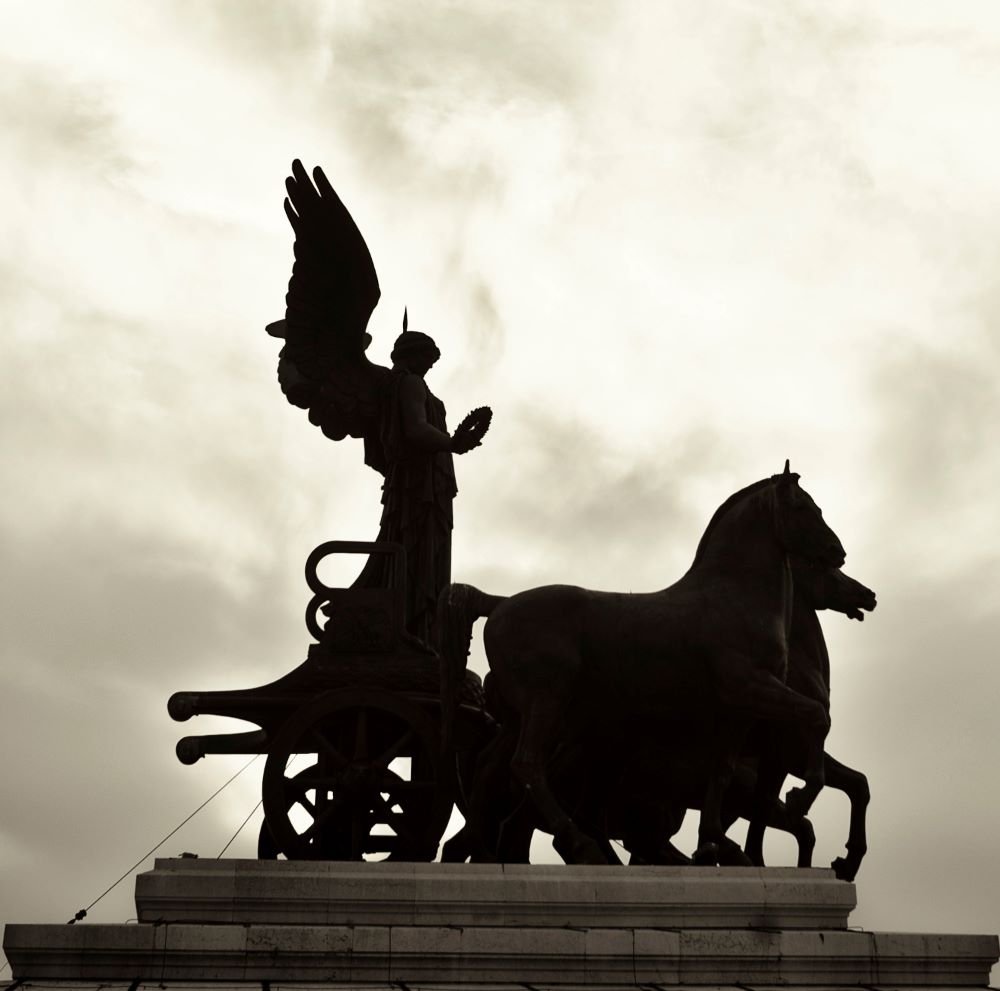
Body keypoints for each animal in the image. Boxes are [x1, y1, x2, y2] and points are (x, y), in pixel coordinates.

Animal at [438, 462, 844, 864]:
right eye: (802, 507)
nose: (836, 551)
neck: (733, 597)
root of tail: (499, 604)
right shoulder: (752, 688)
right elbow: (817, 717)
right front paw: (798, 799)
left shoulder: (736, 713)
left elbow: (723, 771)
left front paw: (714, 841)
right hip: (547, 703)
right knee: (527, 765)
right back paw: (580, 845)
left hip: (519, 718)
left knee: (492, 770)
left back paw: (483, 848)